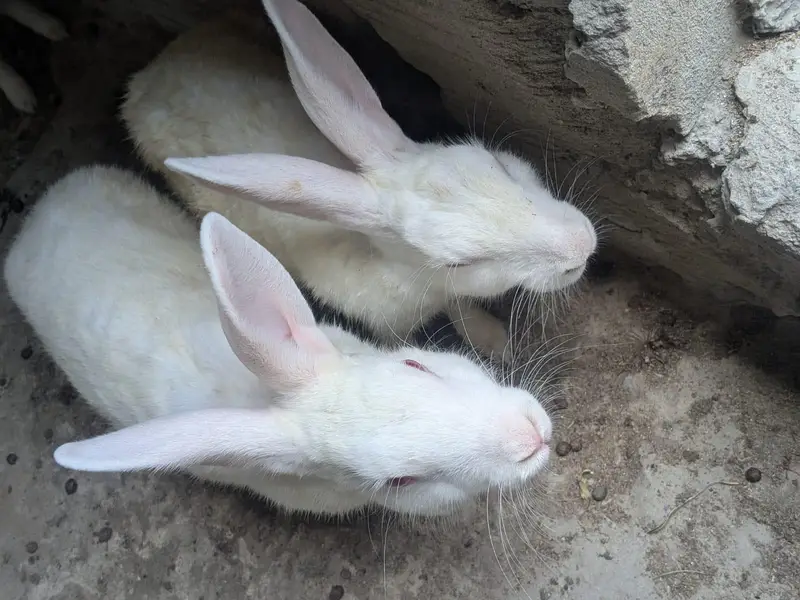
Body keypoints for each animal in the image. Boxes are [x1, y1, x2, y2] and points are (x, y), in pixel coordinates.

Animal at [121, 0, 598, 361]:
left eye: (497, 163)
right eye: (461, 263)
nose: (582, 244)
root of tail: (149, 76)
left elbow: (462, 306)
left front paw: (495, 342)